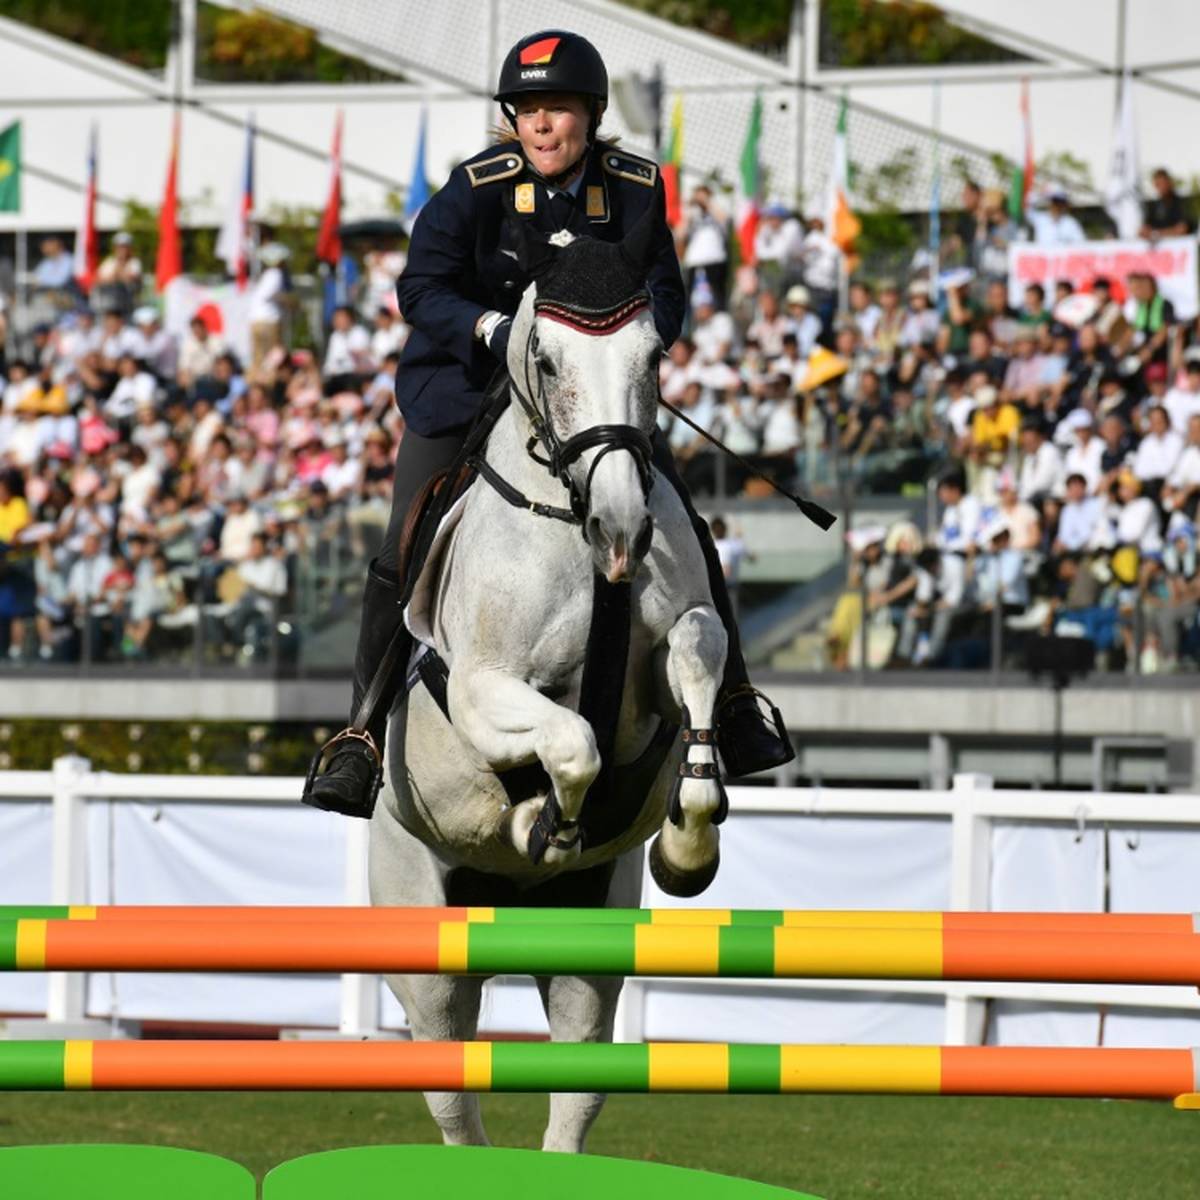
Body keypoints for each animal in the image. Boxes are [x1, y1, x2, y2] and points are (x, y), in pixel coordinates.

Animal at [367, 225, 720, 1152]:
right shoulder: (485, 690)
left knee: (577, 1089)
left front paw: (687, 847)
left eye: (653, 354)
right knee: (452, 1092)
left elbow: (696, 661)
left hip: (587, 951)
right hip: (428, 951)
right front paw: (543, 821)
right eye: (548, 359)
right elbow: (571, 741)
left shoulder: (677, 645)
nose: (623, 529)